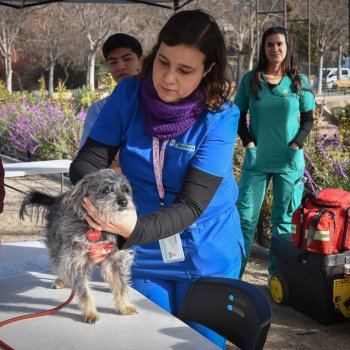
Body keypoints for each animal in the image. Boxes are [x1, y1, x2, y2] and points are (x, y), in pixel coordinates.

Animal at [18, 169, 137, 322]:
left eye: (125, 189)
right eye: (105, 190)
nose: (124, 201)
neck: (97, 229)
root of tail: (56, 200)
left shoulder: (117, 260)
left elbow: (121, 284)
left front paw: (124, 306)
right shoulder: (77, 262)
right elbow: (84, 290)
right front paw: (90, 312)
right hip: (59, 249)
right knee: (61, 266)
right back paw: (62, 280)